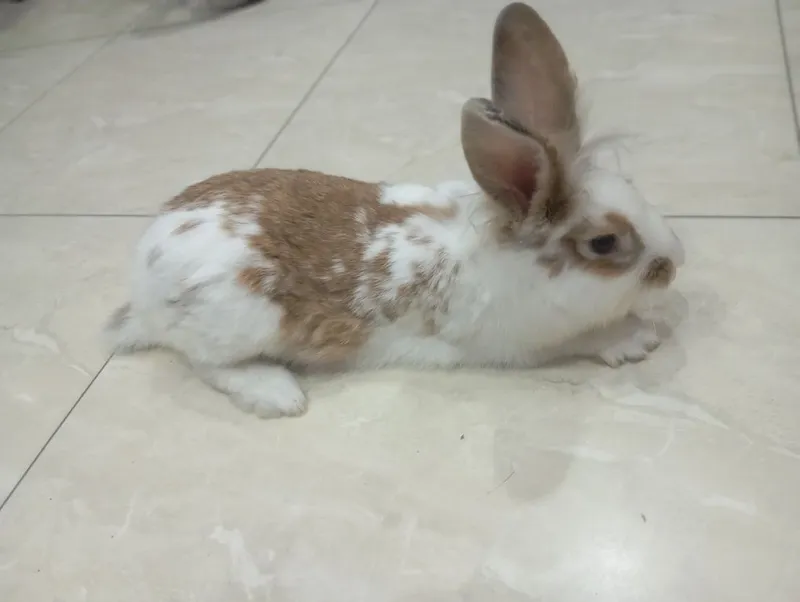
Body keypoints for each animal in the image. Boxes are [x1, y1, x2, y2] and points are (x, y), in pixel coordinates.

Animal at [106, 2, 685, 418]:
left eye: (633, 185)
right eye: (604, 244)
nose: (675, 262)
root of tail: (142, 276)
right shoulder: (520, 343)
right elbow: (588, 337)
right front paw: (636, 339)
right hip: (236, 325)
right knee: (207, 364)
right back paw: (278, 393)